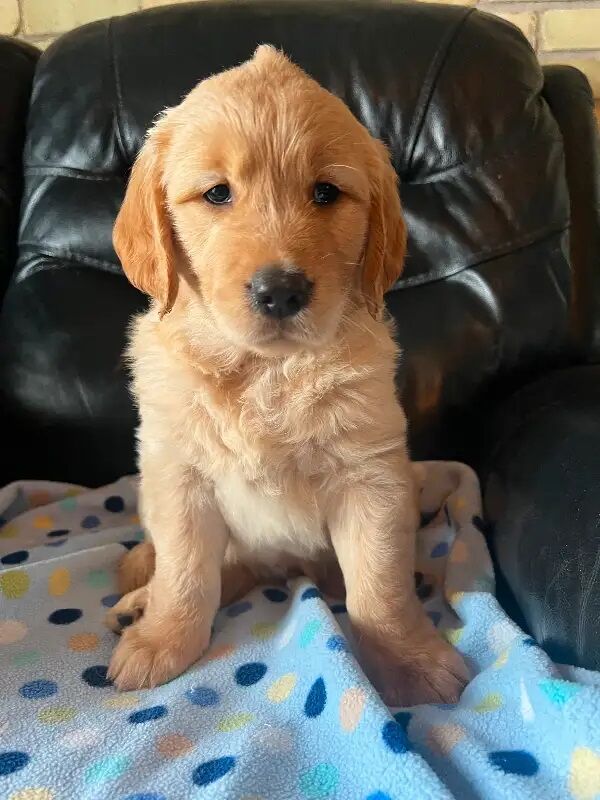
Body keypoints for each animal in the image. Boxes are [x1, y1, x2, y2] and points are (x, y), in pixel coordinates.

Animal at [106, 47, 468, 704]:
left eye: (326, 192)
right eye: (217, 194)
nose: (281, 291)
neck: (265, 373)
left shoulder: (372, 477)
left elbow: (379, 585)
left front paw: (409, 657)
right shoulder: (177, 475)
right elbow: (185, 571)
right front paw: (163, 638)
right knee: (215, 567)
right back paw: (138, 603)